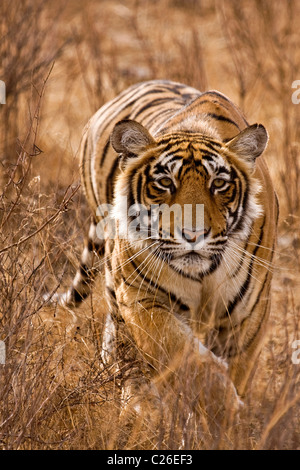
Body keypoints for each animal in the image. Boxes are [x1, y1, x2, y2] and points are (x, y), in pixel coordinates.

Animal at [52, 80, 278, 408]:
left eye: (219, 184)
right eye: (165, 183)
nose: (193, 235)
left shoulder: (249, 317)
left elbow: (234, 369)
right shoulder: (141, 297)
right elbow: (189, 358)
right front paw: (222, 406)